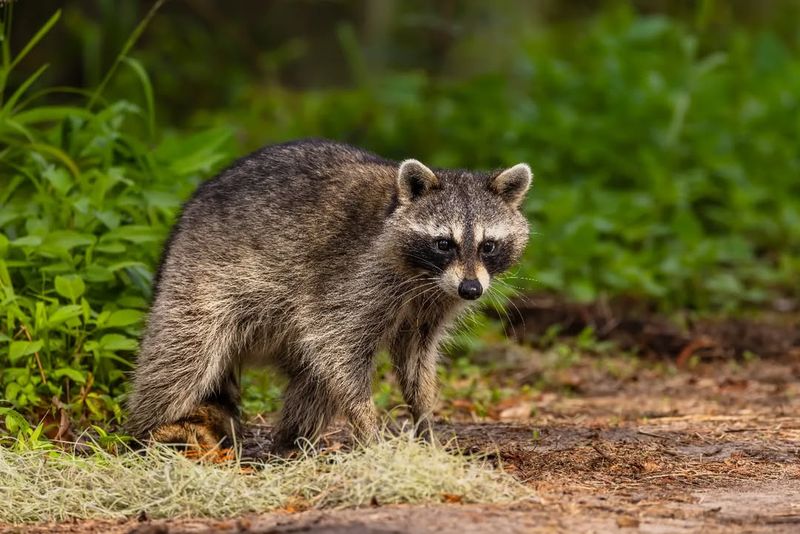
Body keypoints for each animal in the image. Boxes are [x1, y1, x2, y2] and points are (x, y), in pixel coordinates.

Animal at [127, 139, 532, 453]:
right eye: (444, 243)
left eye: (488, 246)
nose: (471, 290)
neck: (425, 277)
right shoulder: (357, 277)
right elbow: (339, 350)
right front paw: (368, 428)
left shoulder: (431, 305)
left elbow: (415, 361)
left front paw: (424, 421)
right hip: (202, 277)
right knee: (181, 359)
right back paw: (143, 429)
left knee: (312, 382)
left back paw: (291, 444)